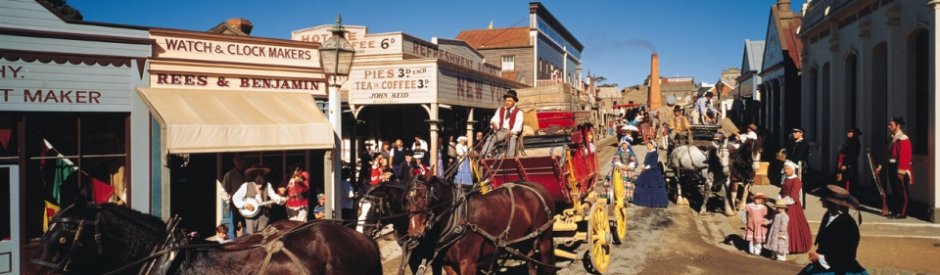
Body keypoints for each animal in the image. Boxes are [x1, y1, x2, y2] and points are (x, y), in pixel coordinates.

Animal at [406, 178, 556, 274]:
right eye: (407, 200)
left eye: (424, 197)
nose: (414, 232)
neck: (459, 217)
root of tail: (539, 187)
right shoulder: (448, 265)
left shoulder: (468, 263)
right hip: (526, 242)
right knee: (531, 265)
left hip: (545, 239)